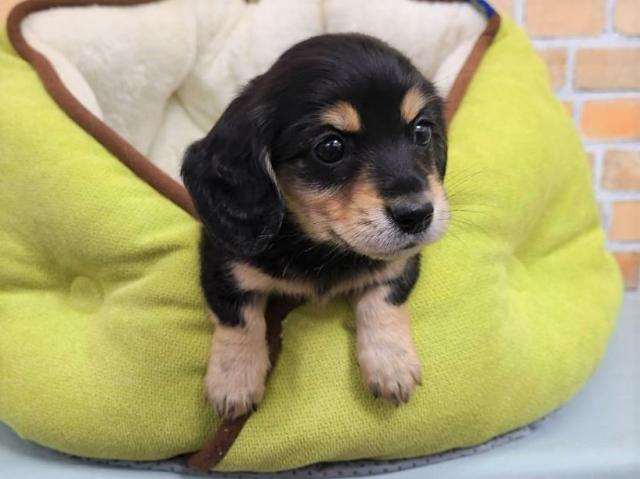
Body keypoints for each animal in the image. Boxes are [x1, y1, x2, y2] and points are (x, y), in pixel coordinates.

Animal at [181, 33, 449, 420]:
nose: (417, 215)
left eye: (422, 131)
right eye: (331, 147)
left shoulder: (400, 263)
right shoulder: (222, 262)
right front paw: (233, 382)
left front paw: (391, 364)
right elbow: (238, 319)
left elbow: (383, 301)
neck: (322, 248)